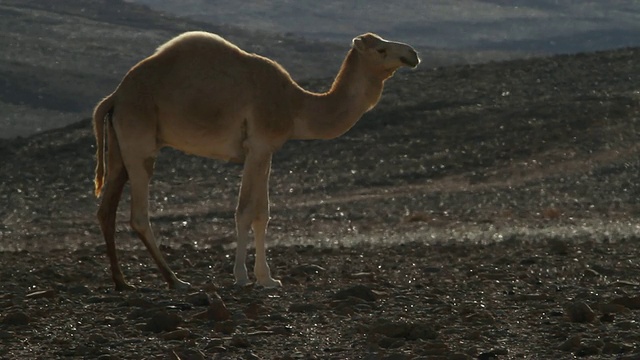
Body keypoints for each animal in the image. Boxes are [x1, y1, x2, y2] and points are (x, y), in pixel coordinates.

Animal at [91, 30, 420, 290]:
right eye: (381, 50)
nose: (413, 54)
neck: (295, 104)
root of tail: (115, 96)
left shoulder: (266, 151)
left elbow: (263, 213)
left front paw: (268, 278)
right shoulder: (258, 145)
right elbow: (245, 211)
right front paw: (242, 276)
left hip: (119, 148)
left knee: (106, 210)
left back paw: (122, 282)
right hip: (140, 140)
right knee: (138, 215)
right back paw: (175, 280)